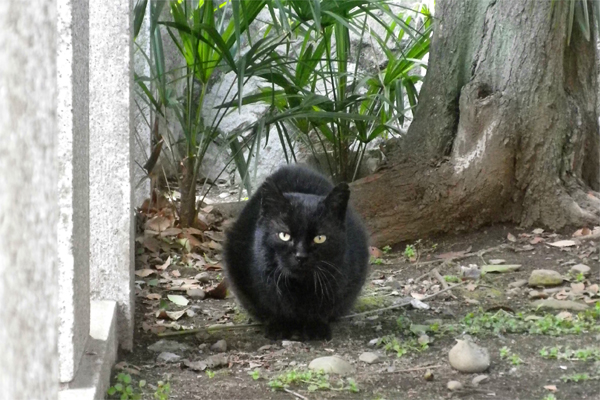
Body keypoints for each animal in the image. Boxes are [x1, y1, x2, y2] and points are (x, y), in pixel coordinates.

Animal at [223, 166, 368, 340]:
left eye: (320, 238)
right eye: (284, 235)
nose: (301, 256)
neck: (300, 287)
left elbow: (323, 308)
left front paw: (316, 328)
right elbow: (272, 306)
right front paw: (280, 327)